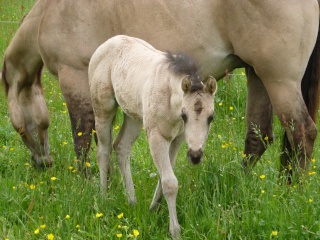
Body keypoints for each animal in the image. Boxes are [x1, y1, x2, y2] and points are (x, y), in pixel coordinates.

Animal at [1, 0, 320, 180]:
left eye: (19, 128)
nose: (42, 164)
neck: (50, 12)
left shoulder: (75, 77)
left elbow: (82, 137)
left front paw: (85, 182)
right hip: (259, 76)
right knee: (259, 138)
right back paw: (247, 187)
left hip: (279, 80)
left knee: (302, 133)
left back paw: (293, 191)